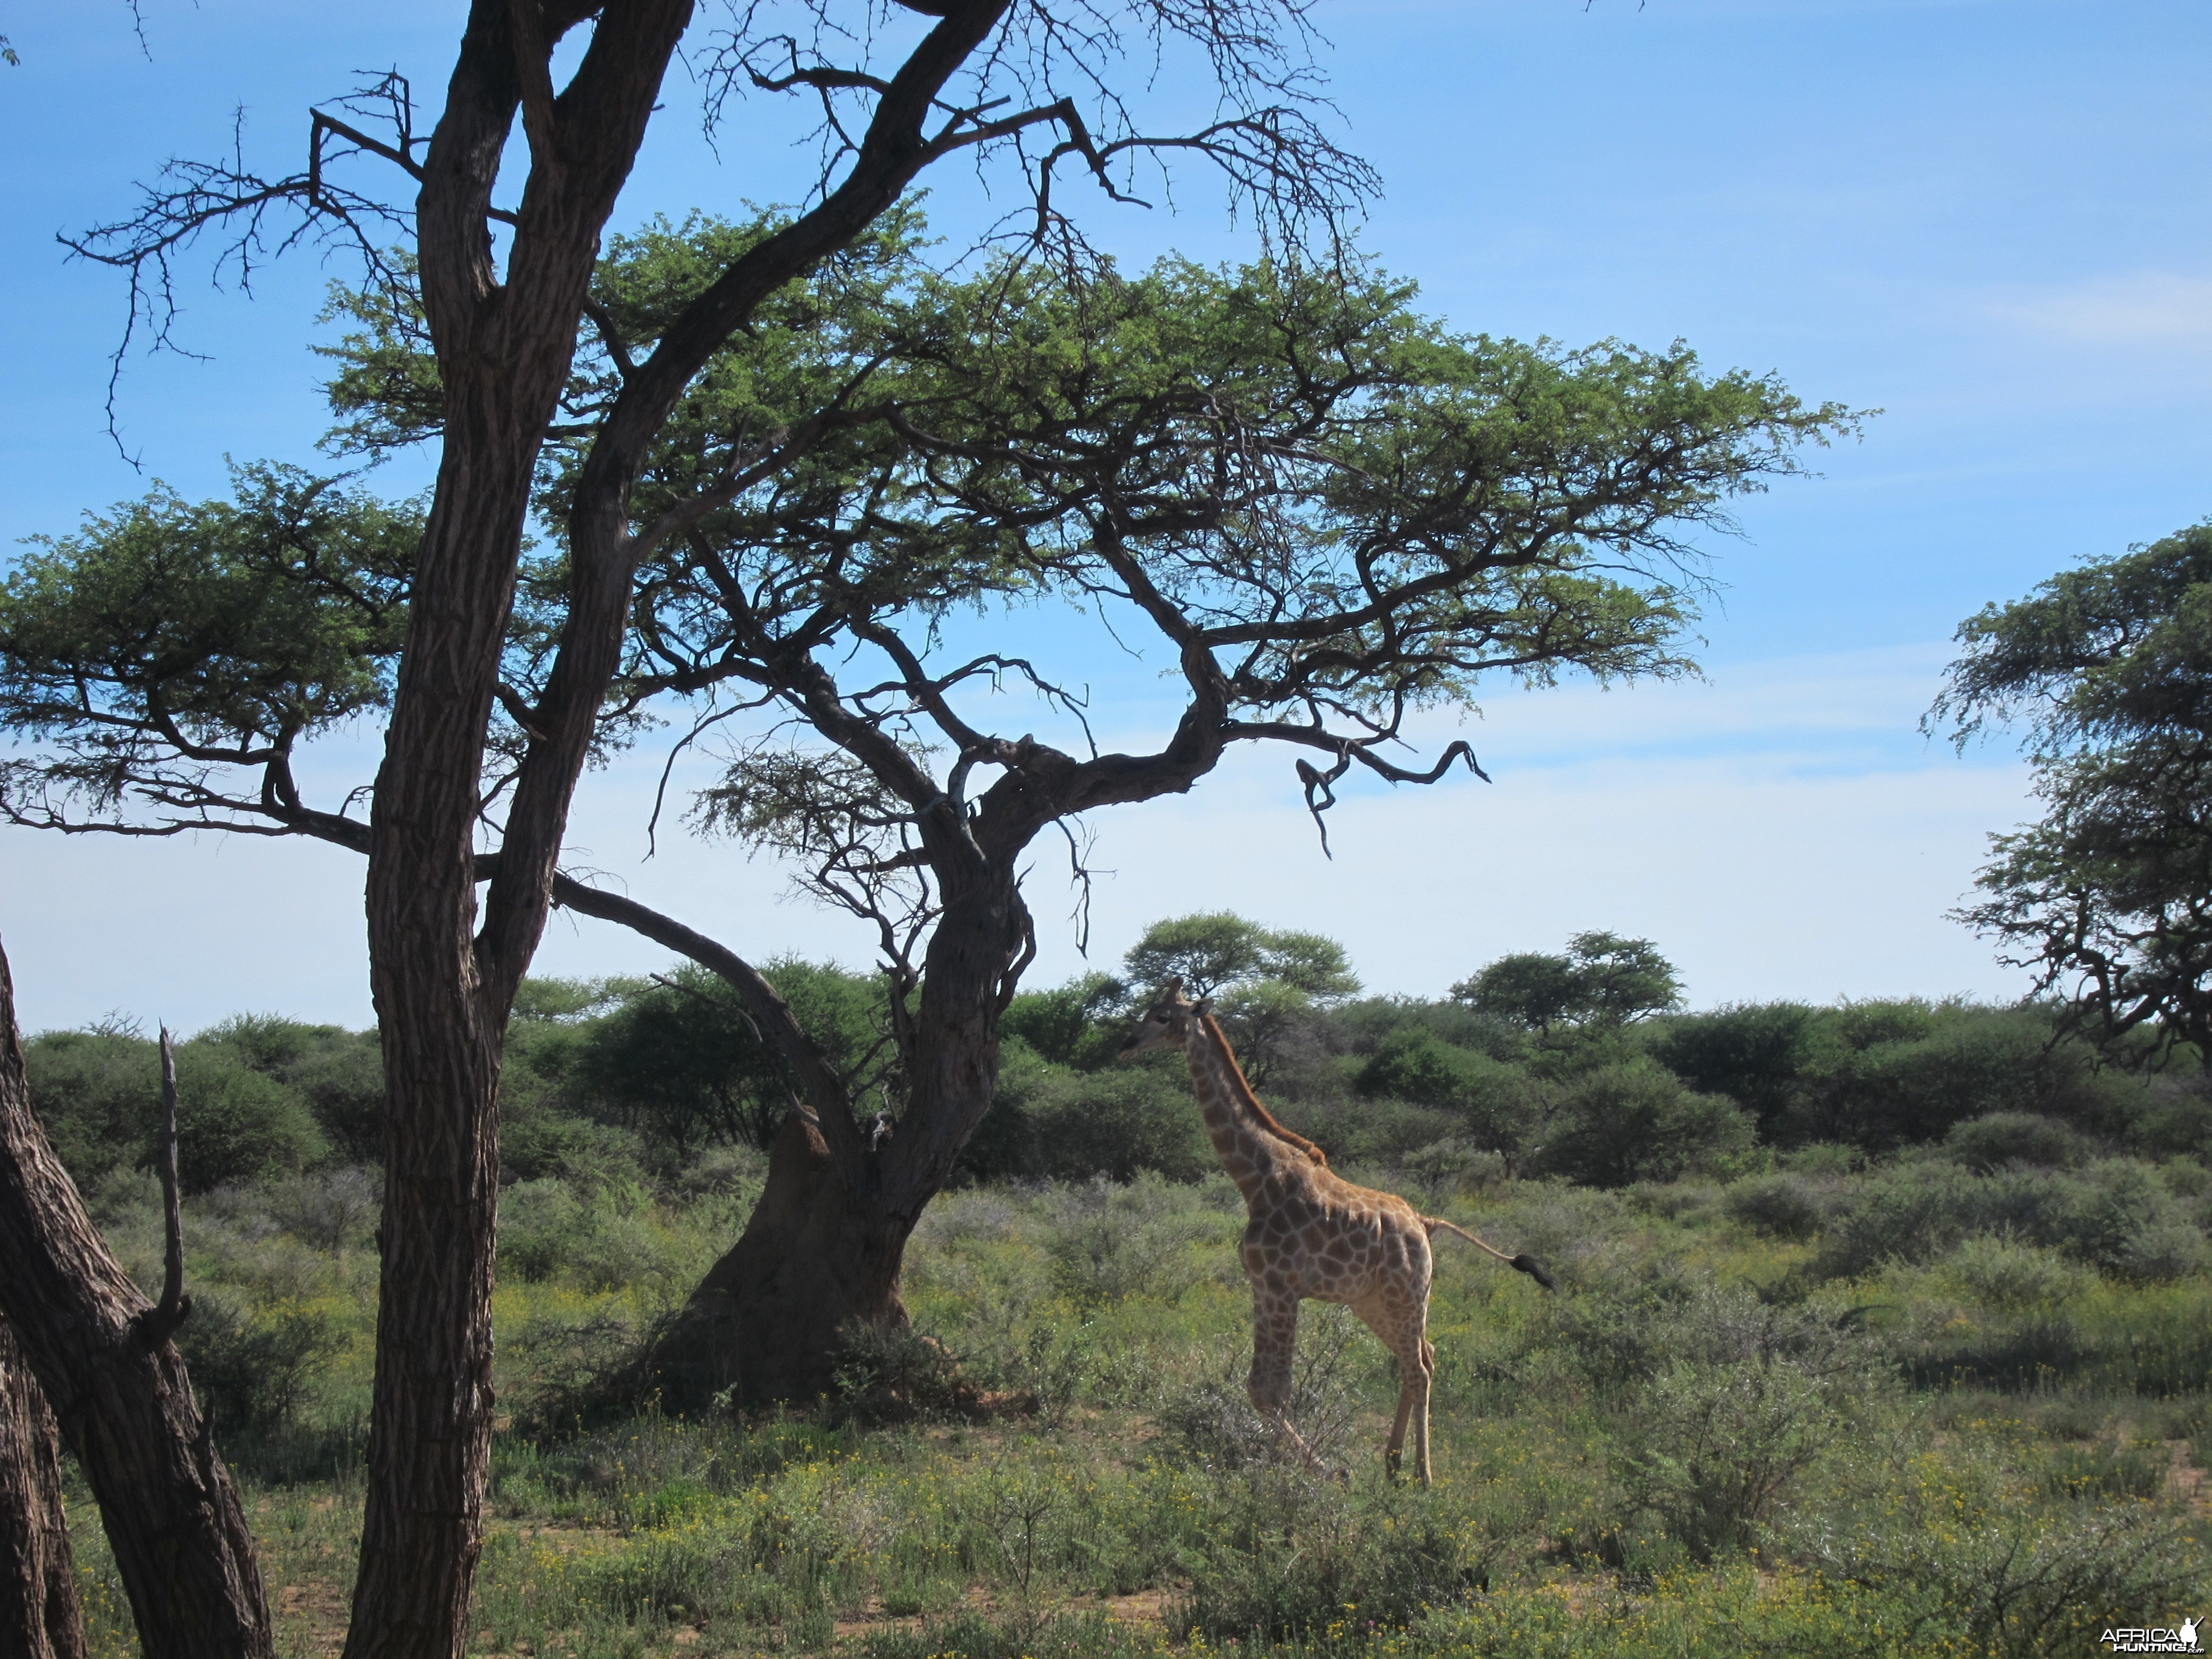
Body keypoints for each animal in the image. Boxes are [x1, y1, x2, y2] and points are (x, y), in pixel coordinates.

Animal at [1124, 982, 1557, 1486]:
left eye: (1163, 1016)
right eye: (1149, 1010)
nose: (1125, 1045)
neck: (1256, 1179)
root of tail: (1426, 1223)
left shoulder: (1283, 1288)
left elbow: (1275, 1390)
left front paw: (1318, 1470)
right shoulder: (1262, 1286)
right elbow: (1257, 1388)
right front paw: (1283, 1466)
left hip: (1407, 1295)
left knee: (1419, 1369)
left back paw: (1423, 1476)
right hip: (1374, 1301)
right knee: (1424, 1357)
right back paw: (1392, 1464)